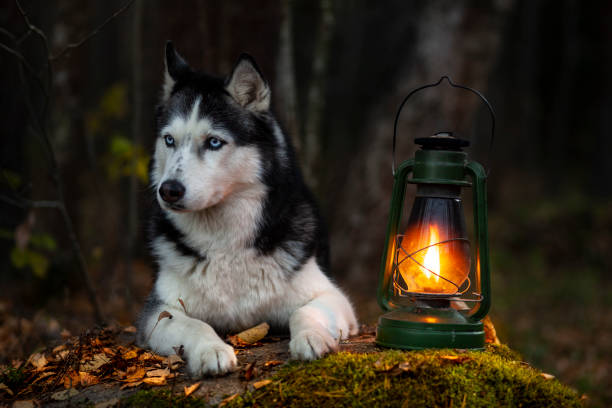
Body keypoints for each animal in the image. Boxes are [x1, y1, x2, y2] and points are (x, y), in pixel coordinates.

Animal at [137, 41, 358, 376]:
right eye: (169, 140)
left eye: (214, 142)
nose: (169, 190)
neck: (225, 242)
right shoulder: (158, 311)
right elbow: (194, 325)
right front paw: (212, 349)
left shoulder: (332, 296)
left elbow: (304, 313)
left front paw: (312, 337)